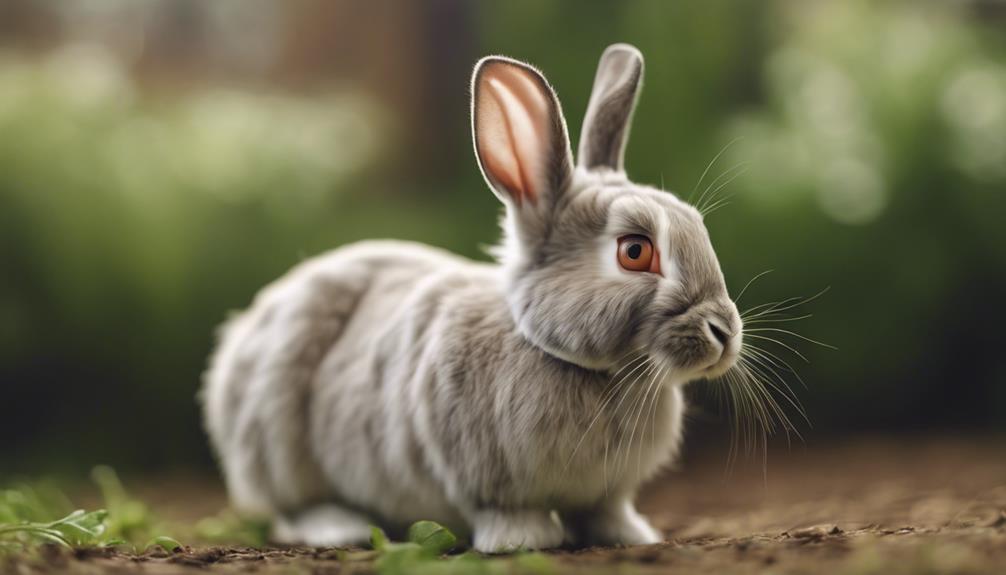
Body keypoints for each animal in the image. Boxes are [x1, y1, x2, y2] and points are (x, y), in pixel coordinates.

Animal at [201, 43, 743, 553]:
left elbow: (606, 511)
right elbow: (506, 512)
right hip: (274, 437)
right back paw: (339, 526)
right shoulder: (483, 475)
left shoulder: (606, 492)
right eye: (634, 252)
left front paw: (631, 535)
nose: (724, 332)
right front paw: (524, 540)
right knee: (291, 507)